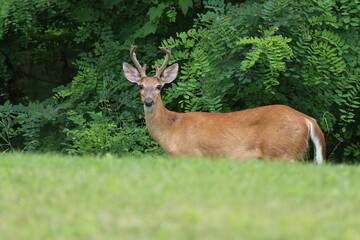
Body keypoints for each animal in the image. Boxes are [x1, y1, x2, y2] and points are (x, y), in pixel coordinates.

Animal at [121, 45, 326, 163]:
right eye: (140, 85)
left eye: (159, 86)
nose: (148, 101)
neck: (170, 129)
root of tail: (308, 119)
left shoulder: (190, 155)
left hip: (282, 152)